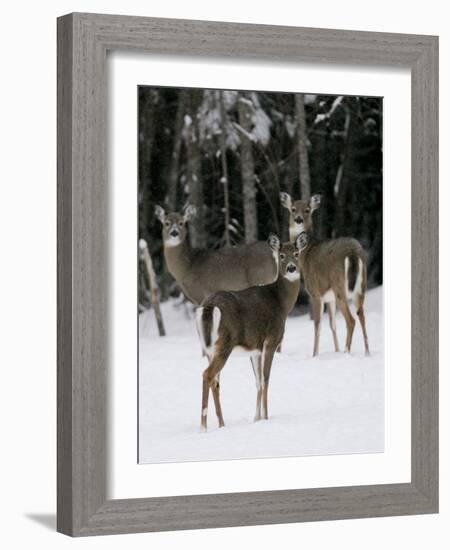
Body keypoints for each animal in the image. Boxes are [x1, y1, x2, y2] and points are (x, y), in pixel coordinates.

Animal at [193, 233, 306, 432]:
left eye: (296, 253)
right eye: (281, 255)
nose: (291, 268)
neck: (281, 303)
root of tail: (209, 306)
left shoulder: (255, 349)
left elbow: (258, 381)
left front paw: (256, 418)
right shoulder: (271, 340)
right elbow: (266, 379)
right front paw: (266, 418)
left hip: (208, 347)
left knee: (215, 380)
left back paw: (221, 424)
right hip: (225, 342)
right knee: (208, 374)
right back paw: (204, 427)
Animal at [280, 193, 370, 358]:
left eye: (307, 210)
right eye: (293, 209)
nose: (298, 219)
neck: (305, 254)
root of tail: (353, 252)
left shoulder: (315, 292)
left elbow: (318, 324)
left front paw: (315, 354)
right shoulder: (330, 297)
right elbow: (332, 324)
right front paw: (336, 350)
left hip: (340, 286)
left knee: (351, 320)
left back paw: (347, 352)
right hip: (361, 286)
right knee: (361, 315)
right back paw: (367, 352)